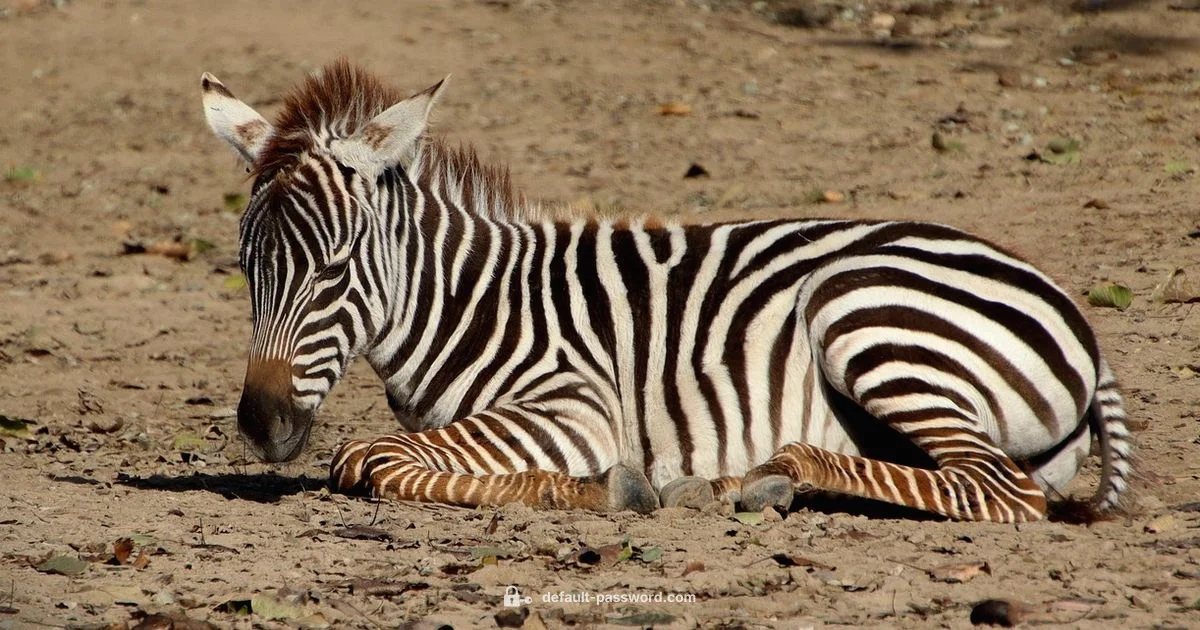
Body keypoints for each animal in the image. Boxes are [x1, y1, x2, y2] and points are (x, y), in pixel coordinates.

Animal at [200, 60, 1134, 523]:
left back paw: (767, 475)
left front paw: (605, 489)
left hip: (864, 314)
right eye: (248, 271)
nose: (261, 427)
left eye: (333, 270)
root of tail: (1078, 322)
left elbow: (371, 459)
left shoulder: (577, 405)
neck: (472, 302)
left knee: (999, 492)